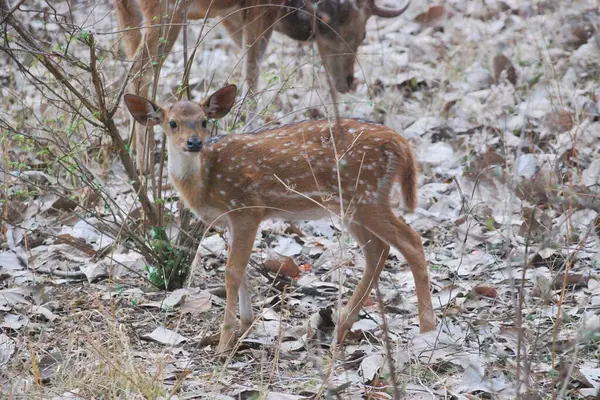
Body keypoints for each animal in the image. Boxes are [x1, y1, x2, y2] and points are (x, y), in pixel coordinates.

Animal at [113, 0, 412, 170]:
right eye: (361, 33)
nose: (349, 81)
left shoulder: (233, 13)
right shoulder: (262, 10)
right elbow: (252, 69)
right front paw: (254, 128)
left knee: (131, 58)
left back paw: (132, 152)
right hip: (166, 10)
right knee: (141, 70)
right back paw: (143, 163)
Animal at [125, 84, 436, 354]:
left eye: (203, 121)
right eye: (173, 123)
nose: (193, 143)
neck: (206, 182)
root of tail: (400, 143)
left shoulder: (248, 209)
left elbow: (232, 272)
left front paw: (225, 342)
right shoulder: (231, 220)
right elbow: (242, 272)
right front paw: (242, 329)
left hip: (365, 196)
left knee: (410, 241)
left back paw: (426, 329)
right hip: (353, 205)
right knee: (378, 250)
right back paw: (342, 327)